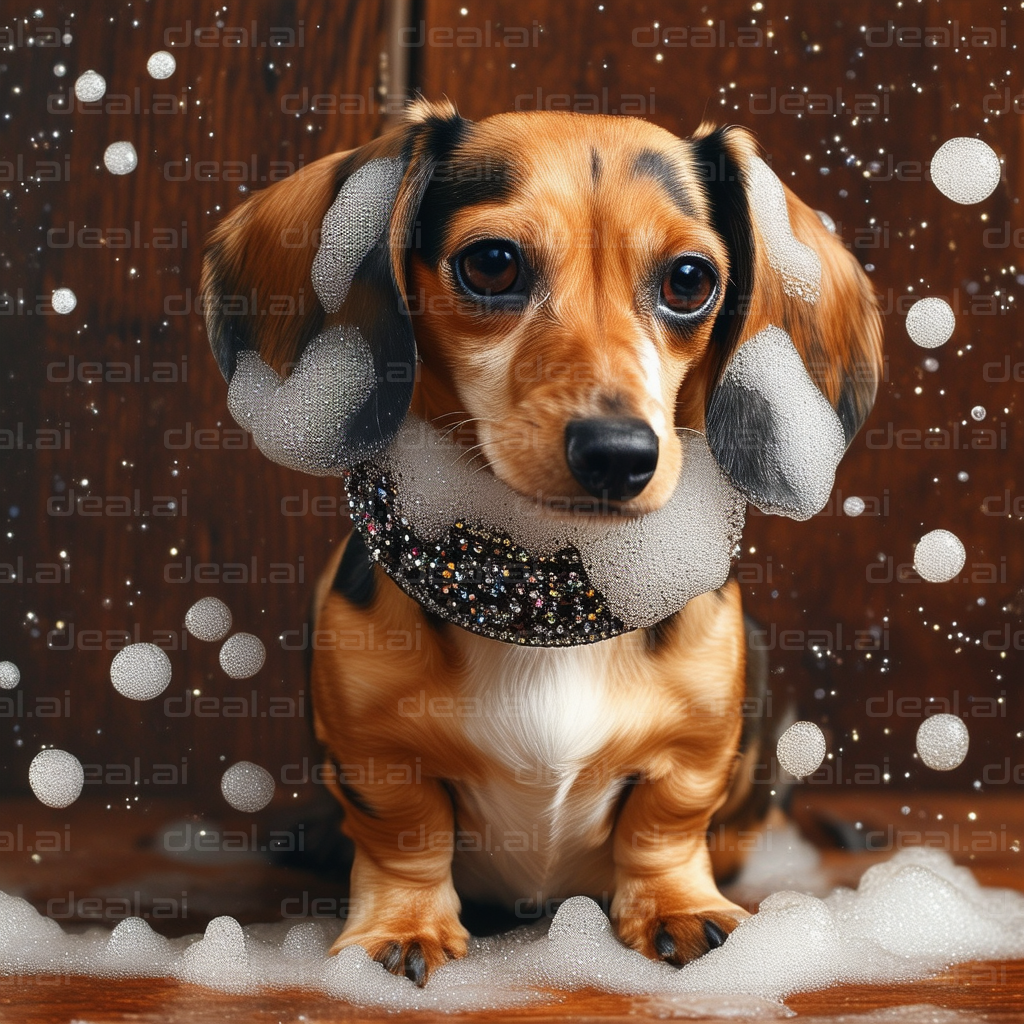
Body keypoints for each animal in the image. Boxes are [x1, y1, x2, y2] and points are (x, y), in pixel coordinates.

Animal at [201, 101, 880, 983]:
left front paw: (677, 907)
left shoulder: (695, 748)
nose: (619, 455)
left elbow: (664, 826)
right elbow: (406, 836)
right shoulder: (374, 754)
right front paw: (401, 928)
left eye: (689, 280)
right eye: (491, 264)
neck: (540, 582)